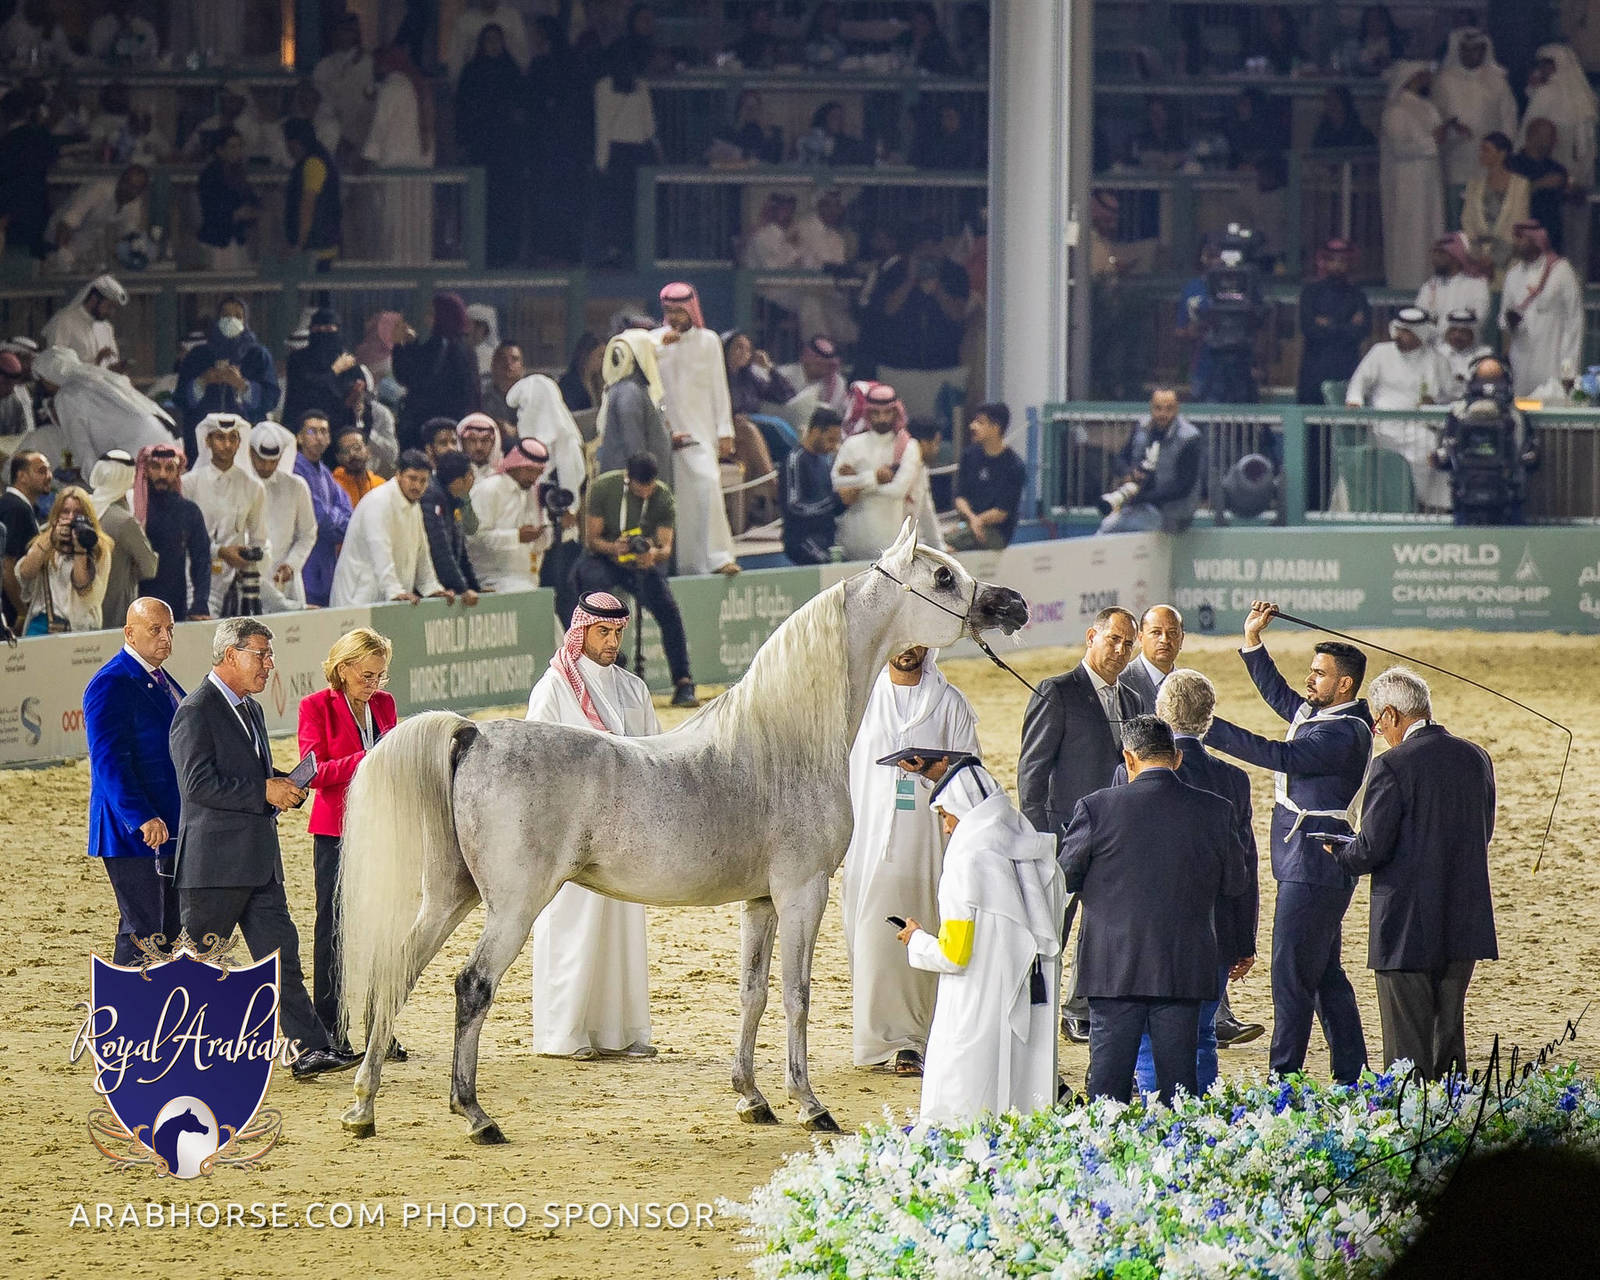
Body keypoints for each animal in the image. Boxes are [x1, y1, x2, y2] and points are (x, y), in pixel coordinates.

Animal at [336, 520, 1029, 1143]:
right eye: (943, 577)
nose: (1012, 604)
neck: (783, 743)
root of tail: (474, 732)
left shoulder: (761, 900)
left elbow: (753, 992)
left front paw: (751, 1097)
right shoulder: (803, 892)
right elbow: (796, 993)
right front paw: (809, 1105)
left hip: (451, 896)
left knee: (397, 972)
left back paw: (364, 1107)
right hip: (513, 905)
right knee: (471, 985)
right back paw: (474, 1114)